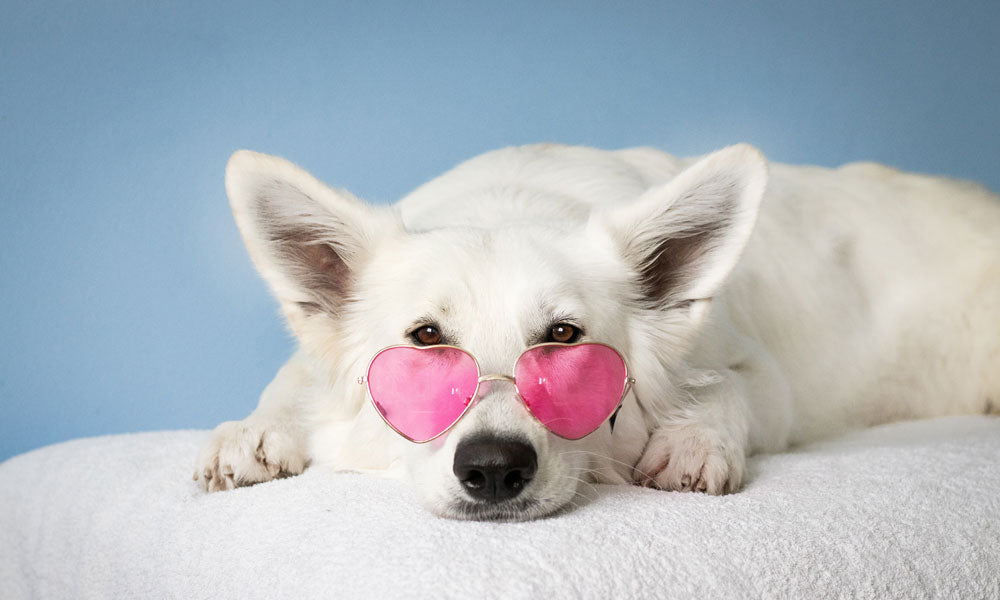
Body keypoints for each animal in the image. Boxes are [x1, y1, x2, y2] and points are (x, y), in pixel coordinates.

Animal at [195, 143, 1000, 516]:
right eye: (426, 341)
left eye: (563, 339)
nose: (493, 470)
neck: (511, 200)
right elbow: (292, 380)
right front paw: (254, 430)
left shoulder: (767, 380)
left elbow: (725, 391)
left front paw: (693, 440)